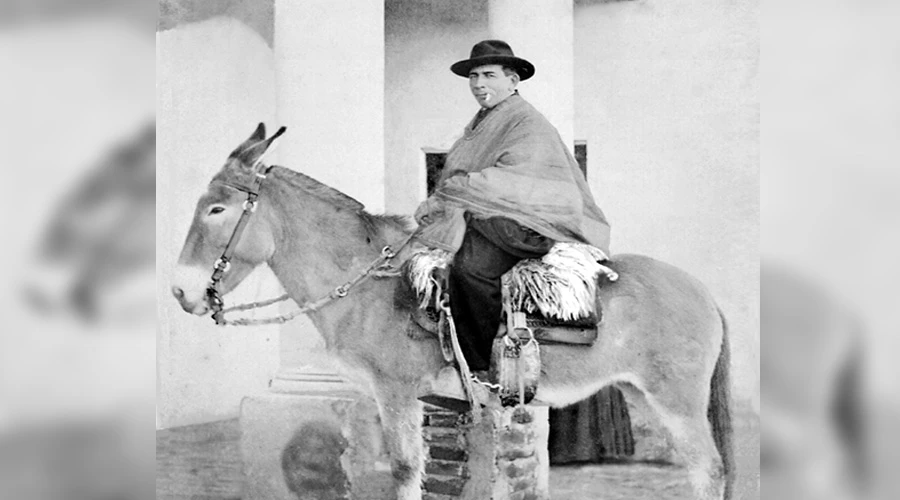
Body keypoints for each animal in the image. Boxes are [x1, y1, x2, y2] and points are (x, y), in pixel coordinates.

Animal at [170, 124, 734, 500]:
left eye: (217, 209)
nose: (180, 291)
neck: (369, 284)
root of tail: (705, 293)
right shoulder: (426, 400)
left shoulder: (396, 393)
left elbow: (403, 470)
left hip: (677, 399)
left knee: (708, 471)